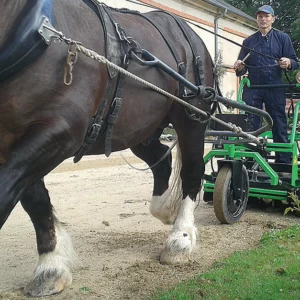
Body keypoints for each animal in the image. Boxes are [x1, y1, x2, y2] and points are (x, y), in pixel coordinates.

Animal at [0, 0, 216, 296]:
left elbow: (8, 193)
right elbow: (34, 199)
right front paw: (51, 265)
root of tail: (190, 34)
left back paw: (180, 237)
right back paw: (165, 210)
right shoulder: (13, 138)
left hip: (192, 118)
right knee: (161, 160)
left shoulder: (61, 131)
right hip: (140, 129)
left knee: (193, 170)